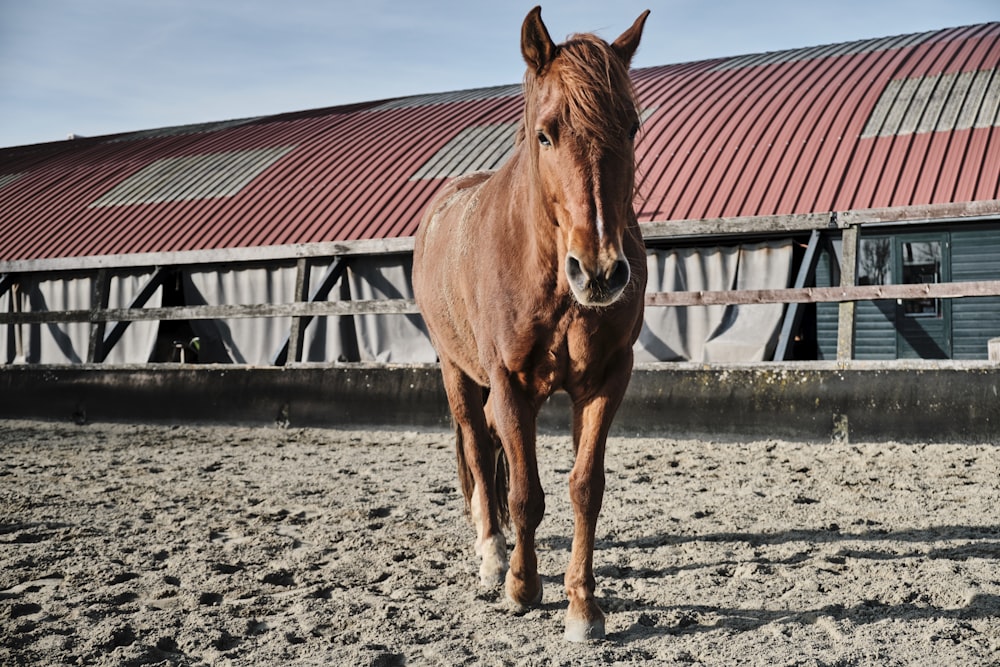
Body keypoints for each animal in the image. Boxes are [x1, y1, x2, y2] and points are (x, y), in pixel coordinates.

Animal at [412, 5, 648, 640]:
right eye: (546, 134)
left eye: (631, 128)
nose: (600, 271)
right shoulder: (509, 383)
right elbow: (523, 494)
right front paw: (521, 585)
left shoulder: (607, 381)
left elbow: (584, 488)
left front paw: (582, 606)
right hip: (458, 372)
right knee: (477, 448)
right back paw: (493, 553)